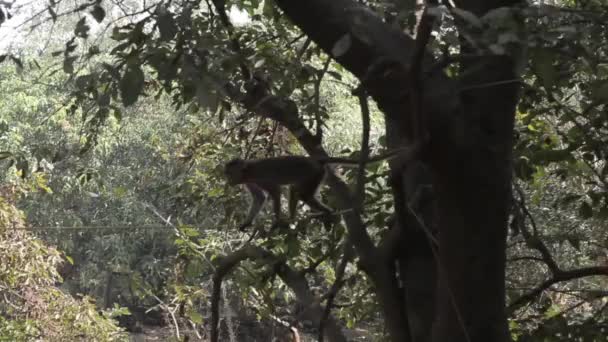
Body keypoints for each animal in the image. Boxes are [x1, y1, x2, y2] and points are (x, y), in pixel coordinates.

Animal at [223, 146, 418, 231]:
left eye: (229, 174)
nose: (228, 181)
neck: (248, 171)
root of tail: (315, 160)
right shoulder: (248, 180)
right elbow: (259, 197)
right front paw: (247, 223)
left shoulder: (260, 177)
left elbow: (275, 192)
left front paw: (276, 222)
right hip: (316, 175)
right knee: (296, 191)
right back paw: (296, 219)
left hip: (313, 174)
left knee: (302, 194)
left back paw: (326, 213)